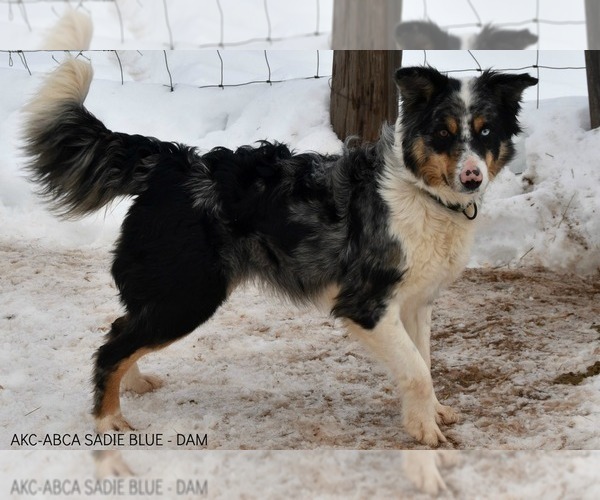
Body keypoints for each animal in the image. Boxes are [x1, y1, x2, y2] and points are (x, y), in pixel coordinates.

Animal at [22, 57, 536, 446]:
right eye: (444, 133)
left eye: (485, 132)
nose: (471, 177)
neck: (421, 193)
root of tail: (170, 161)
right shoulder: (365, 304)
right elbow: (415, 370)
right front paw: (425, 432)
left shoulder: (415, 302)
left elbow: (424, 361)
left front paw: (432, 413)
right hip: (189, 295)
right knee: (111, 346)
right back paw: (109, 419)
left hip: (172, 293)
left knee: (121, 329)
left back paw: (133, 382)